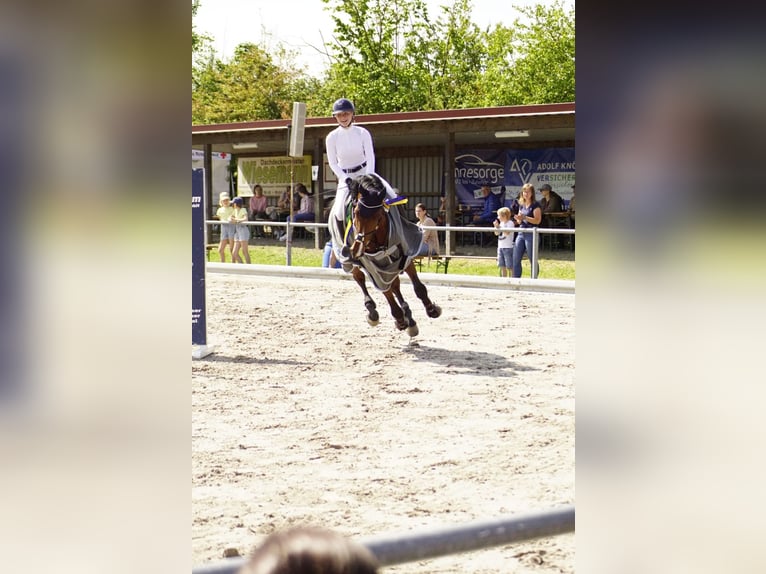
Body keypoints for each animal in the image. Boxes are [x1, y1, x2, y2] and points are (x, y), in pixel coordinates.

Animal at [330, 174, 442, 336]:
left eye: (379, 215)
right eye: (355, 212)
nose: (356, 249)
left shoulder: (406, 255)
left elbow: (418, 287)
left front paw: (431, 309)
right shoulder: (371, 266)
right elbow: (385, 291)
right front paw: (399, 318)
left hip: (390, 263)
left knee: (395, 284)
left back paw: (409, 318)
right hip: (349, 259)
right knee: (360, 277)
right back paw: (375, 312)